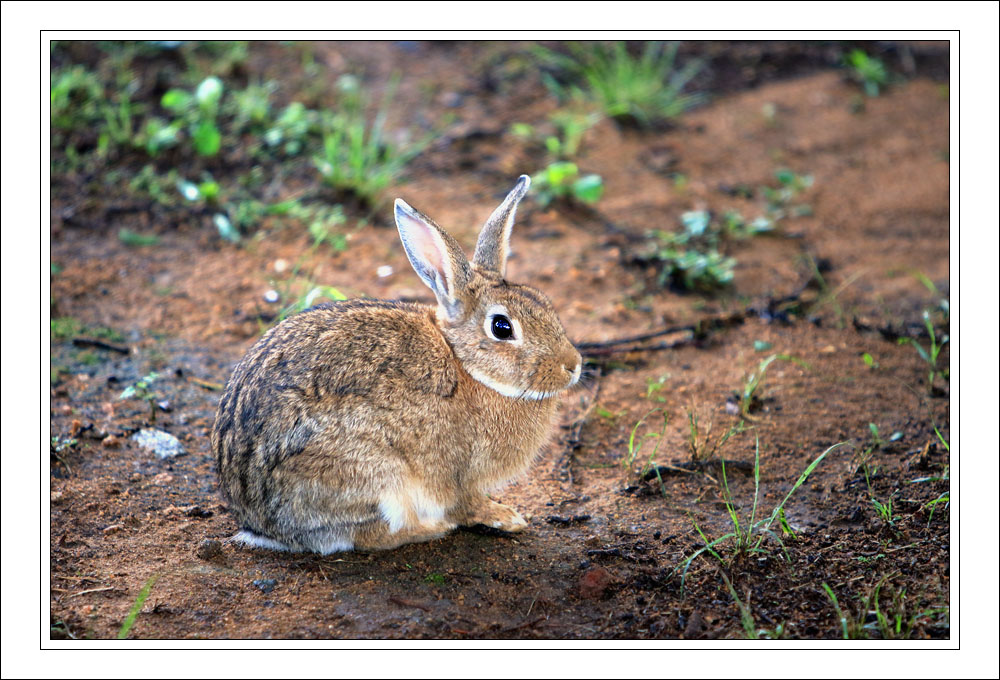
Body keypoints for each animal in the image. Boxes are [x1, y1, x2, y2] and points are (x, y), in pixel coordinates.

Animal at [215, 175, 584, 552]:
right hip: (375, 475)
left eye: (544, 301)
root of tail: (259, 522)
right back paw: (429, 529)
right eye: (502, 327)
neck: (467, 366)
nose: (573, 365)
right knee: (366, 535)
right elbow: (468, 504)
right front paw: (507, 518)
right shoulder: (460, 474)